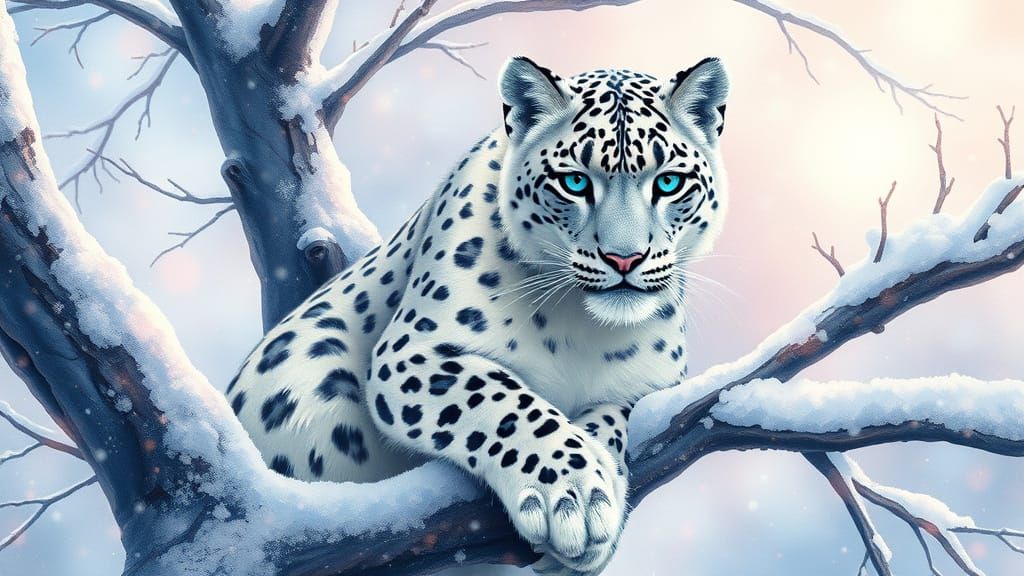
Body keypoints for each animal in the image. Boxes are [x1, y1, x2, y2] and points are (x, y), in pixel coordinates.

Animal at [226, 55, 729, 574]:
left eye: (668, 182)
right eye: (574, 182)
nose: (624, 259)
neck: (584, 329)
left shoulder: (648, 385)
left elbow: (609, 417)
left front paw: (599, 487)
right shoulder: (411, 351)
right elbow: (502, 399)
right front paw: (574, 497)